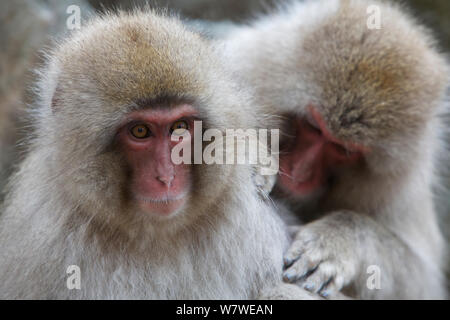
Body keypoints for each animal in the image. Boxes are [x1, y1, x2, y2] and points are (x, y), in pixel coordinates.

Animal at [223, 0, 448, 300]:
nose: (299, 171)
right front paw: (245, 147)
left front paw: (340, 239)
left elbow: (421, 282)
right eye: (313, 126)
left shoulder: (400, 187)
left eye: (343, 149)